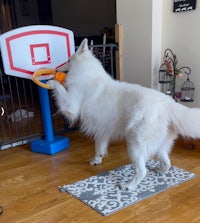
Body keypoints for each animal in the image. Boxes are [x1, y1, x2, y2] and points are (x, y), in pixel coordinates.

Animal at [47, 39, 200, 191]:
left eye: (68, 60)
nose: (55, 70)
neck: (86, 72)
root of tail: (167, 104)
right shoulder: (102, 128)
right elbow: (99, 146)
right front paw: (97, 159)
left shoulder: (70, 106)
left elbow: (60, 89)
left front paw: (51, 82)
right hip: (160, 145)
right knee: (167, 163)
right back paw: (158, 171)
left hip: (135, 144)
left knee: (141, 171)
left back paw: (128, 186)